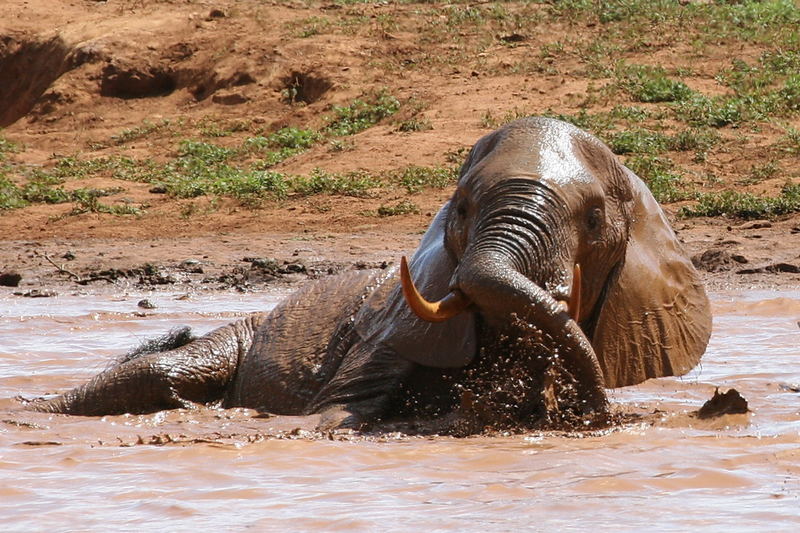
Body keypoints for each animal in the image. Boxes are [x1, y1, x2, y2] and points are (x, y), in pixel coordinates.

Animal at [29, 118, 712, 430]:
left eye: (594, 220)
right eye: (461, 207)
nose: (598, 412)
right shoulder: (390, 329)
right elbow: (334, 410)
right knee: (161, 372)